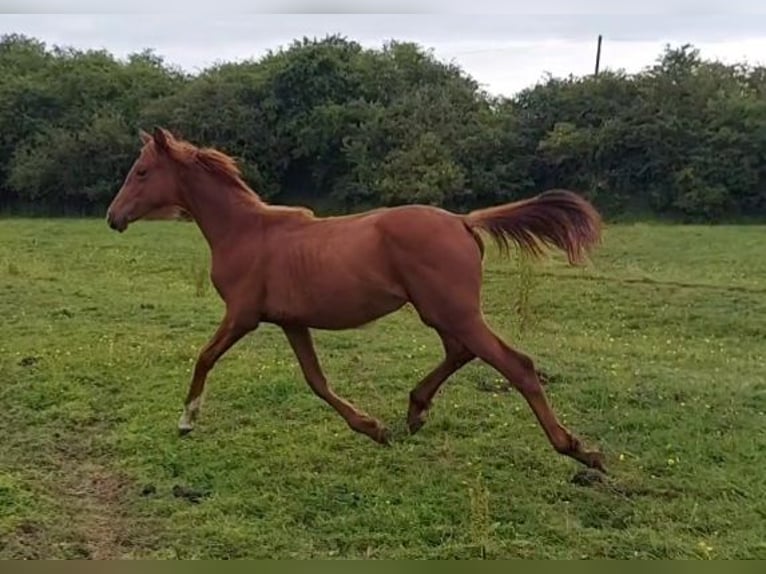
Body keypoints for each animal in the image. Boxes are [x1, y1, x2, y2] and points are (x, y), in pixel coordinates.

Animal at [108, 128, 608, 474]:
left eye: (142, 172)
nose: (113, 217)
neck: (245, 231)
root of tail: (464, 221)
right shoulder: (291, 321)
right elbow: (316, 380)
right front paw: (373, 429)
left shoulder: (242, 315)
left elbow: (205, 357)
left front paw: (186, 419)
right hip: (441, 313)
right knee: (460, 352)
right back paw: (415, 410)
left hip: (454, 312)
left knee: (516, 364)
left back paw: (579, 451)